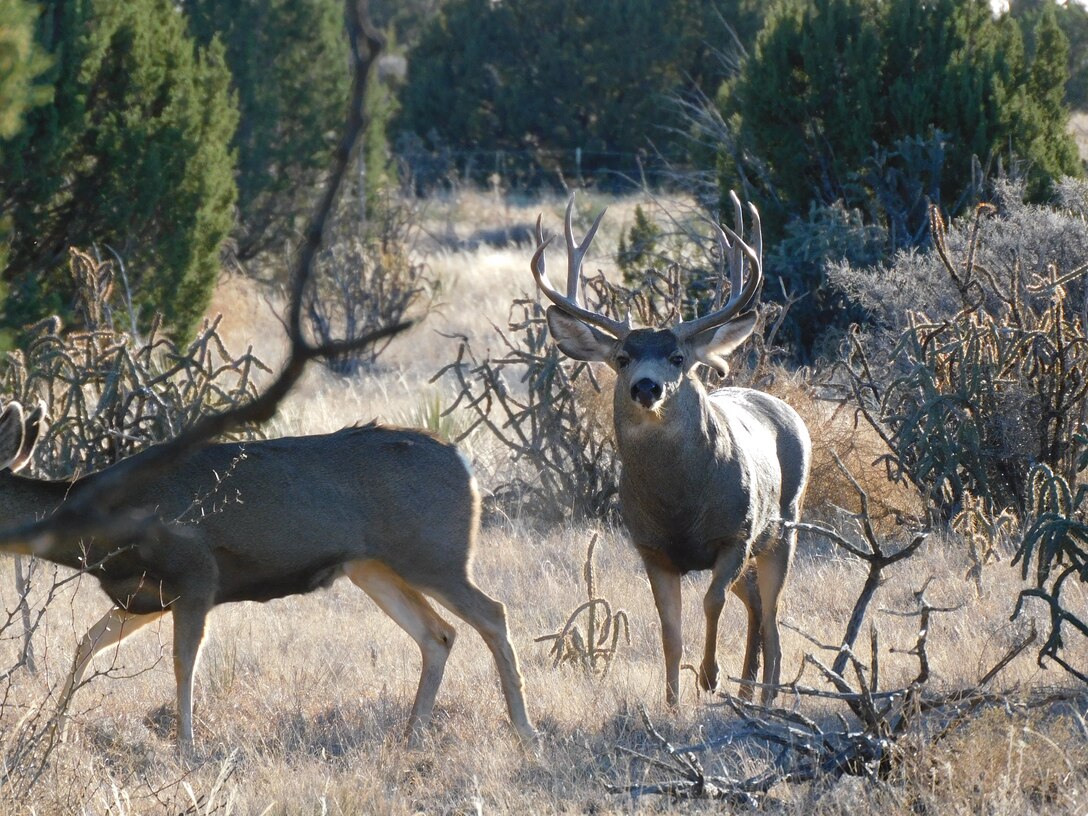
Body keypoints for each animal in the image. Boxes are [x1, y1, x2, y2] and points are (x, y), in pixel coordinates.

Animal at [0, 400, 535, 752]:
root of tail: (464, 463)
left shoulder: (197, 576)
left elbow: (183, 662)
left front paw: (187, 749)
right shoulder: (144, 597)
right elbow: (86, 645)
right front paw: (47, 731)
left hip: (435, 554)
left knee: (493, 613)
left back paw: (524, 730)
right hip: (374, 567)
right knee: (438, 634)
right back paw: (412, 736)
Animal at [530, 194, 813, 705]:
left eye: (678, 358)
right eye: (622, 357)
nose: (647, 386)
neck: (680, 503)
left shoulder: (735, 534)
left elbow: (711, 600)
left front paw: (710, 675)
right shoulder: (651, 548)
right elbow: (669, 630)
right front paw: (672, 701)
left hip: (784, 527)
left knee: (773, 615)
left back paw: (765, 696)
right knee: (756, 605)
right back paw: (747, 689)